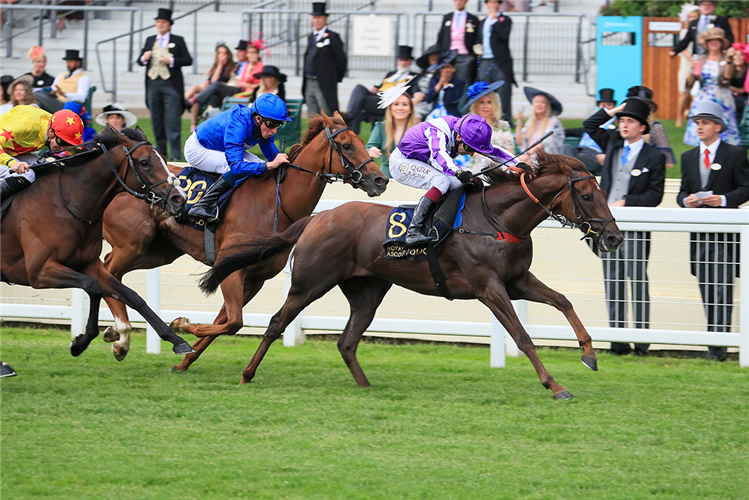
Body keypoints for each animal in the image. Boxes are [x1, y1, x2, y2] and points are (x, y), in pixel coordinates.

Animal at [0, 127, 196, 358]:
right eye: (145, 162)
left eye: (164, 159)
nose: (180, 199)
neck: (67, 203)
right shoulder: (39, 271)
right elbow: (93, 287)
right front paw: (81, 342)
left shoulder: (89, 264)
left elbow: (133, 296)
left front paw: (178, 340)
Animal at [100, 112, 388, 364]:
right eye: (347, 146)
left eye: (363, 143)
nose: (380, 180)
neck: (276, 203)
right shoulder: (231, 272)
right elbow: (234, 322)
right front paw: (182, 326)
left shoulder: (255, 279)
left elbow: (225, 321)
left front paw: (184, 361)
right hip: (133, 244)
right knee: (108, 272)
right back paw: (120, 336)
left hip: (157, 251)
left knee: (109, 267)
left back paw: (115, 332)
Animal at [199, 151, 624, 398]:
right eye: (587, 196)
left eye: (603, 192)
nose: (614, 237)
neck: (497, 220)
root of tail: (319, 217)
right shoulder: (489, 287)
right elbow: (522, 336)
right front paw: (555, 385)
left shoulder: (517, 281)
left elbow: (563, 301)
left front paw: (589, 354)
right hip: (309, 283)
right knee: (275, 324)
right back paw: (245, 374)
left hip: (368, 291)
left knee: (347, 341)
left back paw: (366, 387)